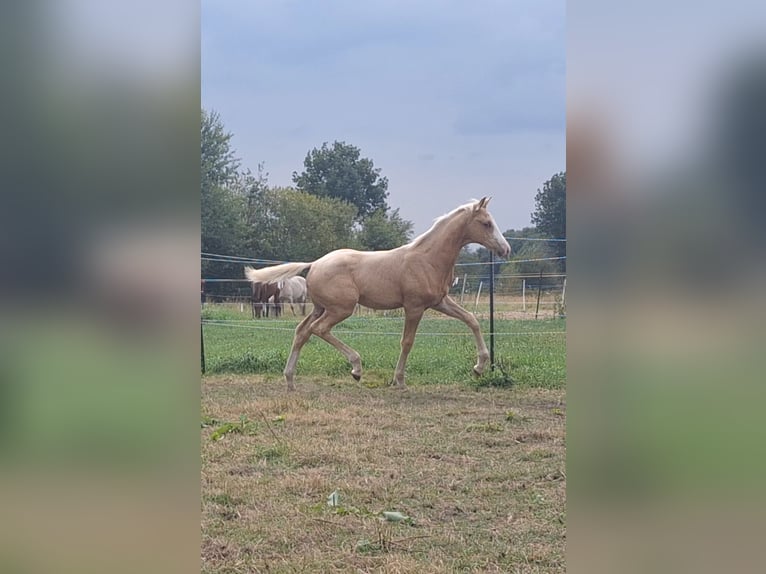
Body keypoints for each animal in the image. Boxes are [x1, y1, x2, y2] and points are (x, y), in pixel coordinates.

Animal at [244, 197, 511, 390]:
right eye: (486, 223)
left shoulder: (440, 302)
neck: (427, 259)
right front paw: (399, 381)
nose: (505, 249)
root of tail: (315, 264)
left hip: (321, 308)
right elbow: (407, 342)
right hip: (341, 309)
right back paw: (356, 369)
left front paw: (479, 367)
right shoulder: (414, 307)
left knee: (301, 332)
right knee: (319, 329)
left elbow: (471, 320)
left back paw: (290, 380)